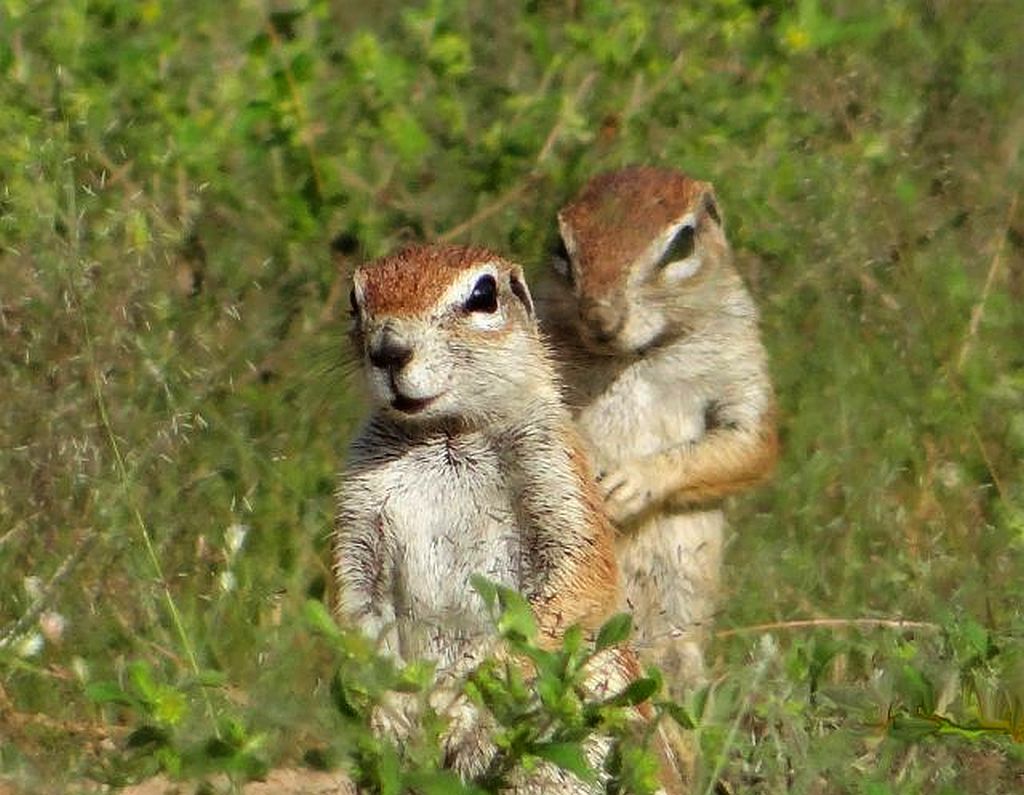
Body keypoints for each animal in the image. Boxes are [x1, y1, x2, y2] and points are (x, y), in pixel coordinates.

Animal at [536, 165, 774, 688]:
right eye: (561, 247)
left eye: (682, 244)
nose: (601, 317)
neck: (636, 356)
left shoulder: (741, 362)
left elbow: (751, 444)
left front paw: (634, 481)